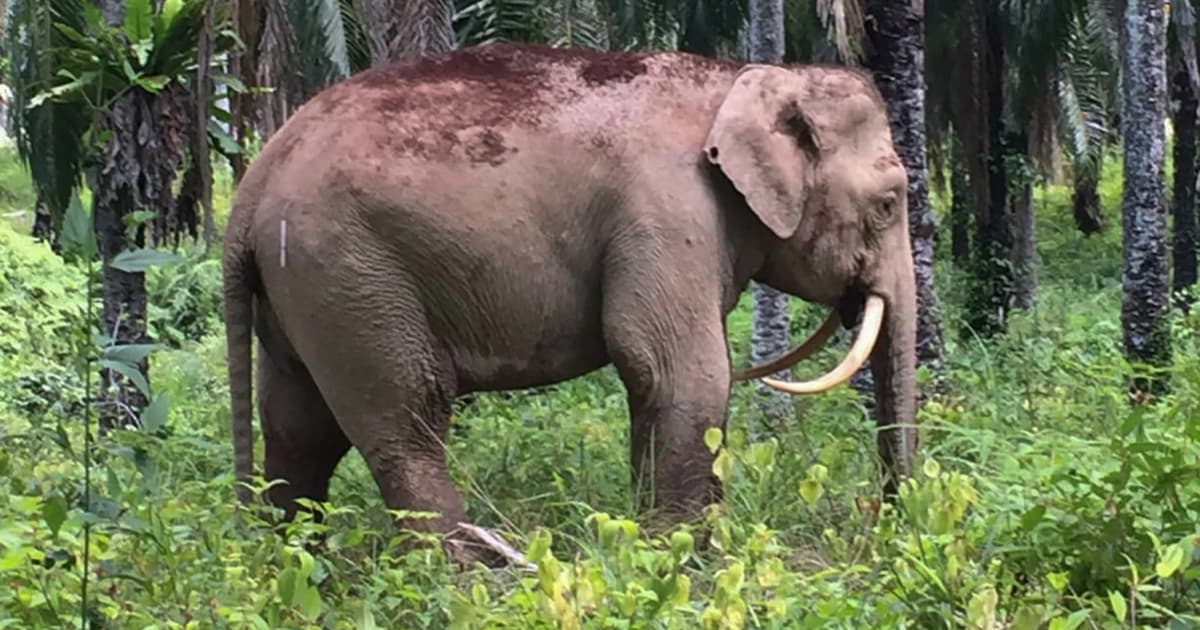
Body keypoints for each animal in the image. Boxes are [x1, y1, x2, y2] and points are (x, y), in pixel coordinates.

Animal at [222, 43, 917, 563]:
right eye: (888, 202)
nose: (887, 522)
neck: (745, 76)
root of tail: (254, 184)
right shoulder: (668, 211)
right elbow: (677, 370)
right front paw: (679, 560)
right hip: (351, 271)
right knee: (406, 416)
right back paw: (469, 572)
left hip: (302, 287)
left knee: (298, 425)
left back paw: (296, 567)